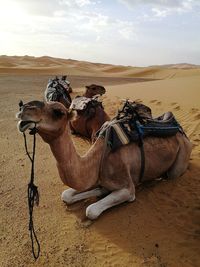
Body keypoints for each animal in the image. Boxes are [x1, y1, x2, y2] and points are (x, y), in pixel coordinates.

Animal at [16, 100, 192, 220]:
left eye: (58, 112)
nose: (23, 109)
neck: (98, 157)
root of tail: (182, 132)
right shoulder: (95, 177)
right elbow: (66, 194)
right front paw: (101, 190)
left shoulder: (127, 188)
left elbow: (91, 210)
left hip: (181, 157)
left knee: (171, 174)